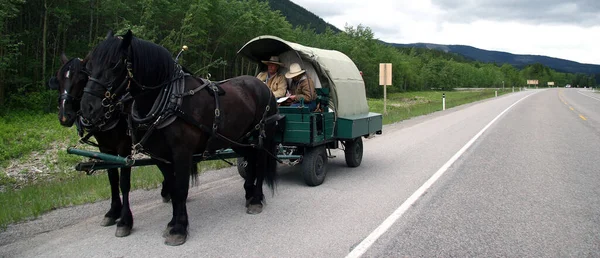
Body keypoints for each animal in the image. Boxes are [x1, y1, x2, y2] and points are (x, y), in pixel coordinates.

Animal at [48, 53, 170, 237]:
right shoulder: (105, 148)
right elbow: (112, 179)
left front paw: (125, 220)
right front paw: (112, 212)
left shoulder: (124, 148)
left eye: (81, 78)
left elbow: (124, 182)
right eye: (59, 78)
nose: (64, 116)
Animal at [81, 30, 282, 246]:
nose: (87, 108)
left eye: (114, 64)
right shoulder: (160, 156)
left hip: (261, 136)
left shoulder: (181, 153)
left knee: (260, 163)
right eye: (88, 66)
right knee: (250, 159)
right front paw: (172, 223)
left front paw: (179, 229)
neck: (170, 100)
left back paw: (257, 198)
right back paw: (249, 194)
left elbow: (181, 188)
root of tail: (263, 86)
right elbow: (174, 188)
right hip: (239, 139)